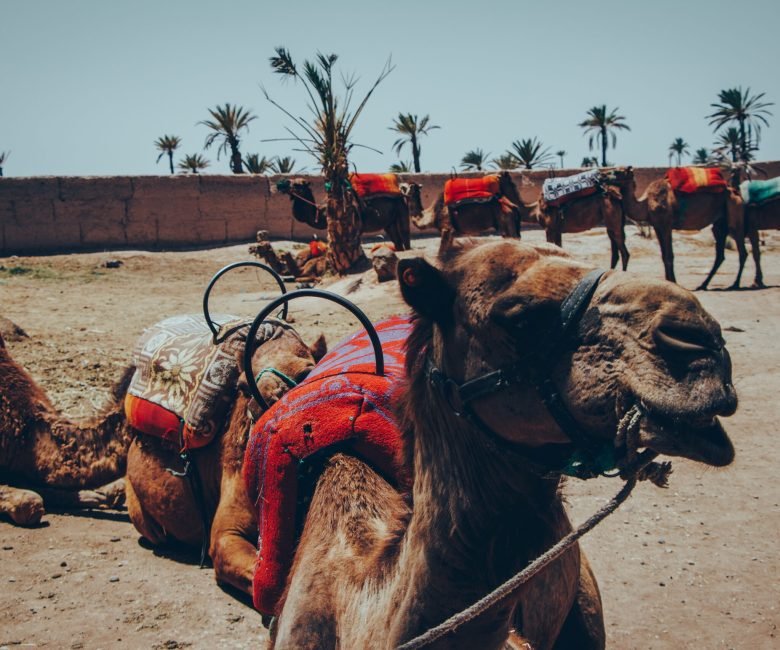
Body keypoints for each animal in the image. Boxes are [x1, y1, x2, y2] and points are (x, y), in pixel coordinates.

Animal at [608, 167, 748, 288]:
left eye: (618, 172)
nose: (605, 177)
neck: (646, 203)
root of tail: (736, 192)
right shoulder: (657, 226)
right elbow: (664, 255)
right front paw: (668, 281)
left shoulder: (666, 225)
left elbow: (669, 255)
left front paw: (673, 282)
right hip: (719, 223)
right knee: (720, 254)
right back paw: (703, 285)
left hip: (734, 214)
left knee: (742, 250)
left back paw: (735, 284)